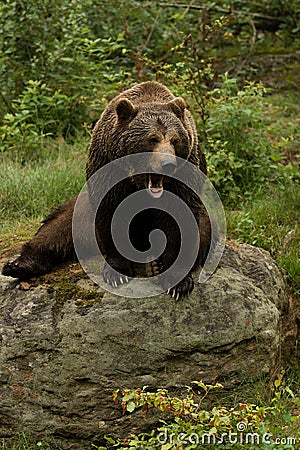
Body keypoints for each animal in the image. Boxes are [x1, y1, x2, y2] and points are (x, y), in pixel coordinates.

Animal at [2, 81, 213, 298]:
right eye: (152, 139)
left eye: (175, 140)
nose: (168, 164)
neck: (138, 182)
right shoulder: (109, 170)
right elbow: (111, 214)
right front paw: (117, 273)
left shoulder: (184, 180)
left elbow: (179, 221)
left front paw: (178, 283)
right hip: (81, 210)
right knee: (55, 230)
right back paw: (16, 265)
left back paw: (154, 264)